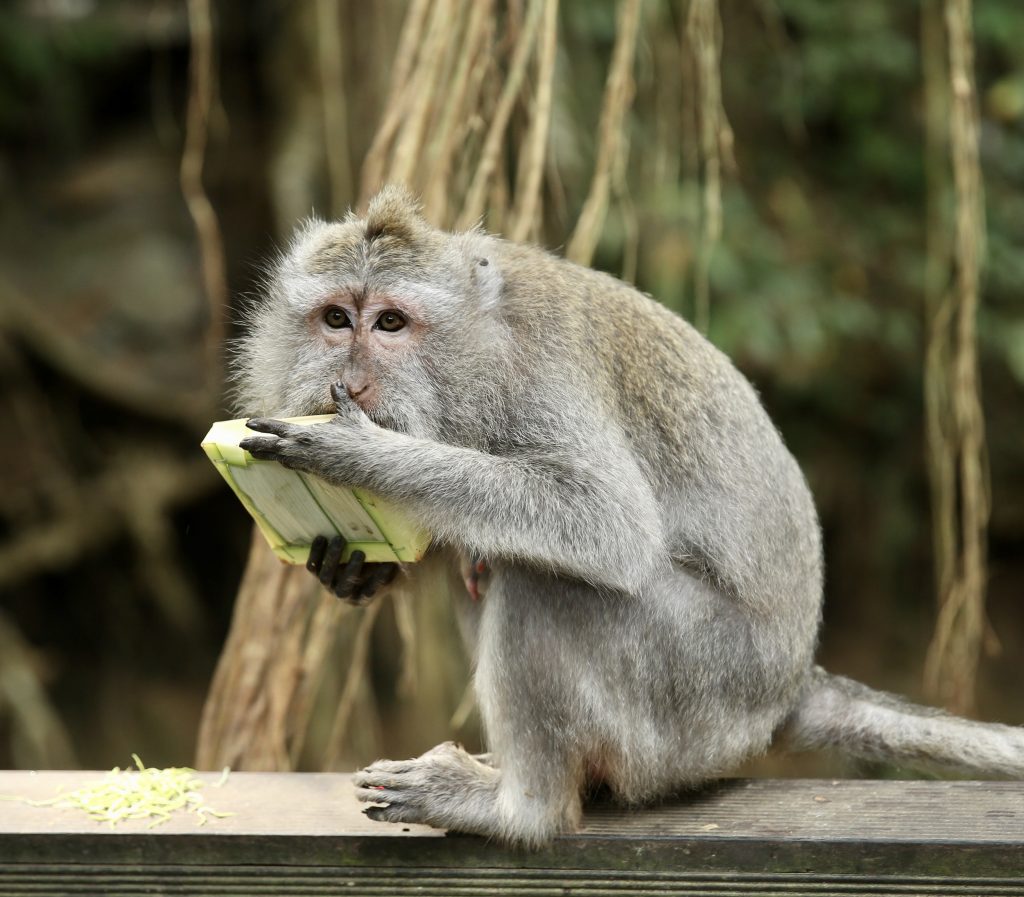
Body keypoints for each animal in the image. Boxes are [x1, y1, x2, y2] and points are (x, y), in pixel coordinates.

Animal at [235, 185, 1024, 843]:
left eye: (392, 323)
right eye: (337, 319)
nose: (353, 381)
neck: (475, 348)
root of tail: (787, 689)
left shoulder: (537, 377)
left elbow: (606, 524)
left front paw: (355, 453)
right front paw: (353, 569)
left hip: (694, 695)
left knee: (542, 582)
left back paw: (521, 807)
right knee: (485, 566)